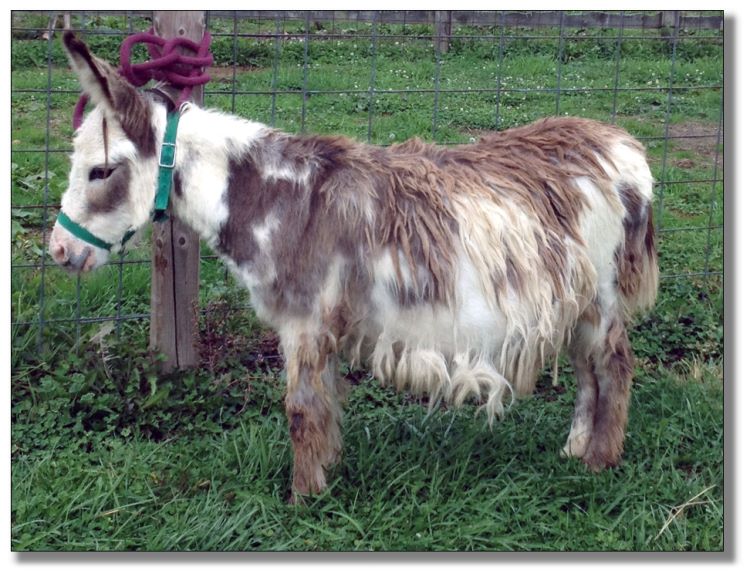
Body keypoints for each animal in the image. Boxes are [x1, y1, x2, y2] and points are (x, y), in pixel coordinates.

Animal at [50, 33, 658, 499]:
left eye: (101, 171)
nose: (57, 252)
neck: (274, 198)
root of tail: (624, 147)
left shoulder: (303, 322)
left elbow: (300, 409)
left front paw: (301, 498)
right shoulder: (319, 327)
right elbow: (325, 403)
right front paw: (326, 471)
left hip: (602, 297)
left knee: (614, 367)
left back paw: (599, 463)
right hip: (576, 299)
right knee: (588, 370)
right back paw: (575, 448)